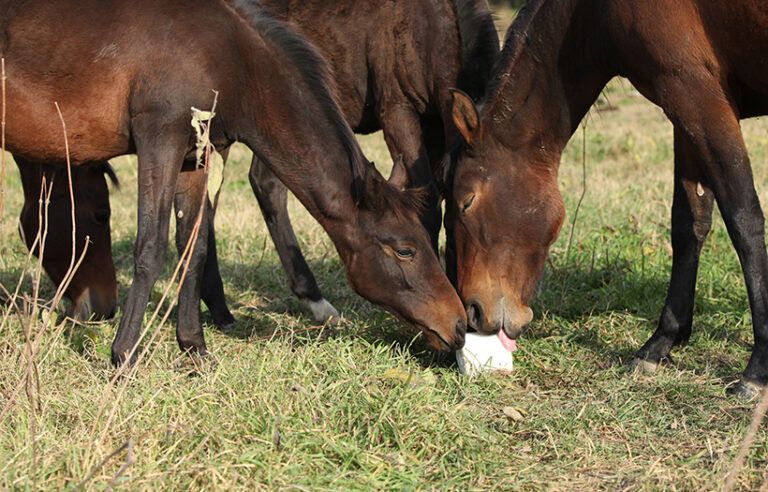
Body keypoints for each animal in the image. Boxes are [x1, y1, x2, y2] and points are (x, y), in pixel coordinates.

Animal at [3, 0, 464, 368]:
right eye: (405, 250)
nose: (459, 325)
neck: (236, 60)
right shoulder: (160, 140)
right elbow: (151, 245)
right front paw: (124, 354)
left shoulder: (196, 156)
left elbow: (194, 247)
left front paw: (194, 347)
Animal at [448, 0, 768, 396]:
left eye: (466, 202)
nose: (473, 312)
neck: (595, 12)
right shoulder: (684, 109)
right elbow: (688, 224)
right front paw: (661, 341)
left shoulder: (698, 96)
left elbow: (744, 222)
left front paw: (758, 368)